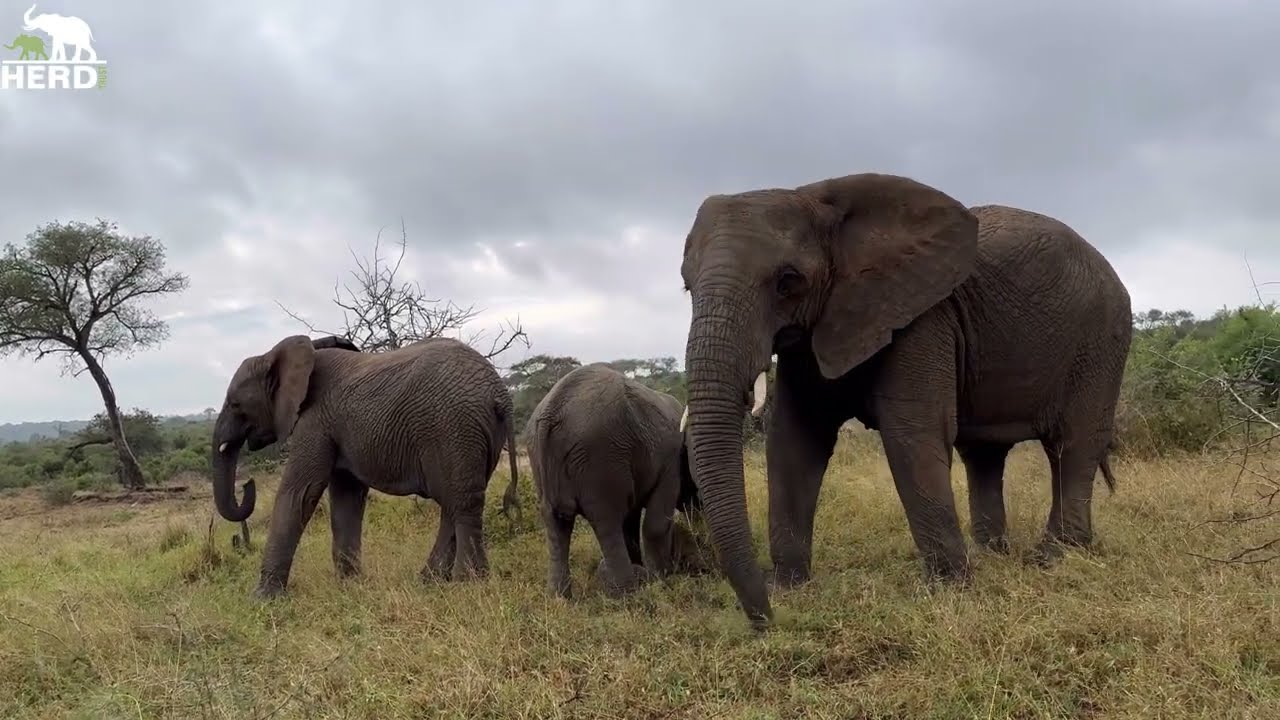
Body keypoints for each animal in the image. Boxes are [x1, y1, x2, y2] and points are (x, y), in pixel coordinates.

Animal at [210, 334, 522, 598]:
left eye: (235, 404)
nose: (247, 484)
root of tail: (501, 394)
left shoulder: (314, 419)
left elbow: (301, 492)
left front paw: (264, 599)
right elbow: (346, 496)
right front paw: (350, 585)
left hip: (454, 427)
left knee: (462, 503)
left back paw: (468, 583)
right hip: (475, 434)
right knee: (454, 503)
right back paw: (429, 580)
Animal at [523, 364, 707, 599]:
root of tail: (550, 413)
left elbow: (631, 519)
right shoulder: (670, 461)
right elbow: (655, 523)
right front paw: (662, 580)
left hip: (542, 459)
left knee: (556, 524)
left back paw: (559, 599)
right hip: (599, 456)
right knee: (607, 521)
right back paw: (627, 593)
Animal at [677, 171, 1133, 629]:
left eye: (788, 281)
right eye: (686, 285)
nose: (766, 623)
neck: (816, 196)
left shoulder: (923, 318)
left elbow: (911, 434)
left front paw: (951, 590)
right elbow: (795, 440)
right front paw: (791, 588)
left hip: (1102, 339)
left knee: (1072, 444)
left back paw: (1055, 556)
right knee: (984, 455)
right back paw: (993, 555)